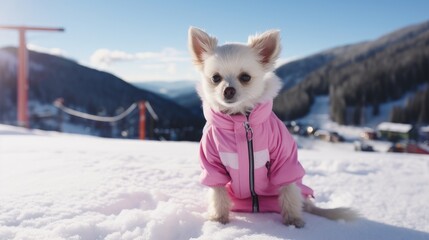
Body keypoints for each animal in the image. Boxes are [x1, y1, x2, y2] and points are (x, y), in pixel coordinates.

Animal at [188, 26, 358, 227]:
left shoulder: (284, 159)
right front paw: (218, 218)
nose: (228, 90)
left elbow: (288, 189)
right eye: (215, 78)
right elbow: (218, 193)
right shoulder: (211, 164)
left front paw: (293, 220)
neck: (241, 120)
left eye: (245, 77)